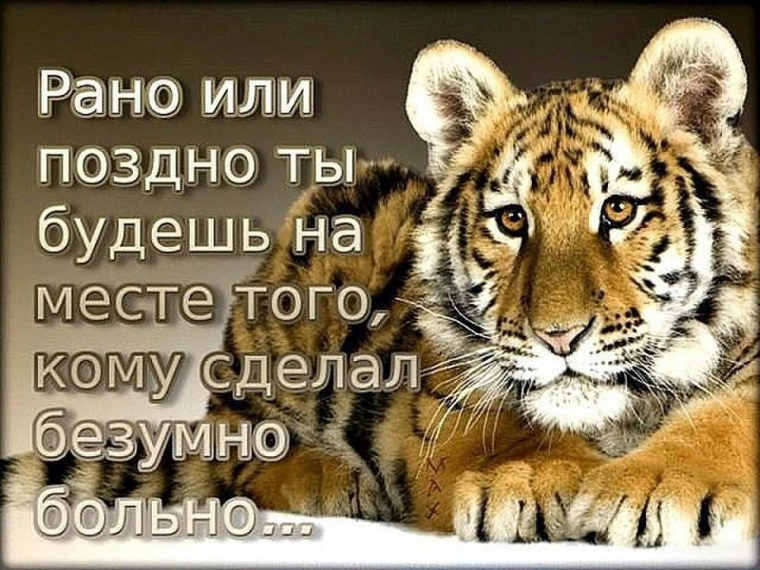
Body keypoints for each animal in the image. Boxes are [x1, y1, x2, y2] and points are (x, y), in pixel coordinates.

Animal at [1, 18, 757, 547]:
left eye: (619, 210)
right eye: (512, 220)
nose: (559, 338)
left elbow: (725, 421)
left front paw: (650, 486)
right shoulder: (447, 390)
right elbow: (506, 429)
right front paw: (527, 478)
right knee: (241, 461)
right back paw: (335, 482)